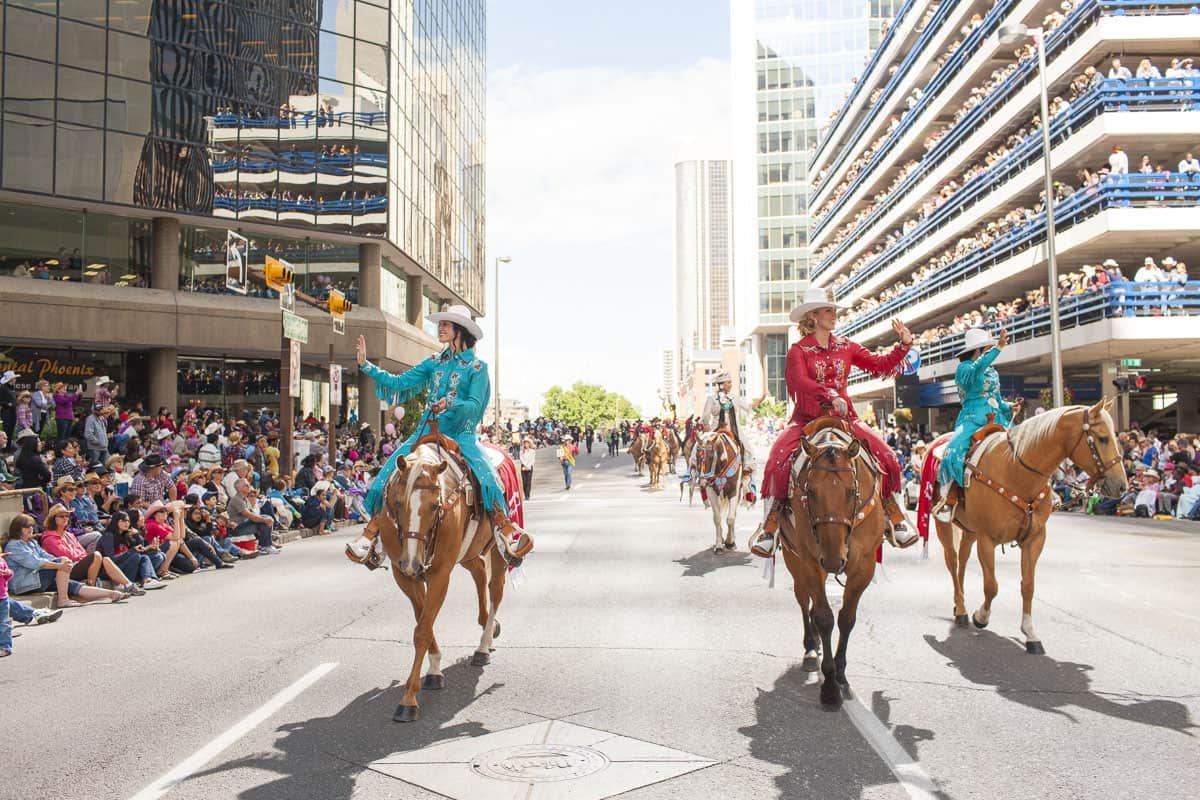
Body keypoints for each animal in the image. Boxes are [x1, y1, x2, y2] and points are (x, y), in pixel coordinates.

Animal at [374, 441, 506, 724]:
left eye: (435, 506)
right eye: (398, 503)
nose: (412, 562)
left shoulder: (440, 574)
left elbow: (422, 630)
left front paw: (408, 700)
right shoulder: (403, 575)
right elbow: (422, 619)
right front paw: (434, 668)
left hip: (498, 549)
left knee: (496, 589)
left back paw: (484, 645)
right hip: (469, 552)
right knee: (479, 572)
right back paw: (487, 625)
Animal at [782, 422, 888, 710]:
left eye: (851, 492)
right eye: (811, 492)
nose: (832, 560)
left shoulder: (864, 566)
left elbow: (846, 619)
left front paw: (840, 673)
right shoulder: (810, 561)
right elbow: (824, 618)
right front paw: (829, 686)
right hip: (793, 558)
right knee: (802, 598)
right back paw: (810, 646)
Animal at [936, 400, 1123, 657]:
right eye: (1103, 438)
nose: (1122, 486)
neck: (1015, 471)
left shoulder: (1035, 539)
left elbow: (1028, 586)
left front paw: (1030, 633)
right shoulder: (987, 538)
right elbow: (991, 586)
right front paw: (981, 616)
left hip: (969, 528)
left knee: (962, 561)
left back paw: (959, 604)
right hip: (945, 527)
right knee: (953, 562)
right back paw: (963, 609)